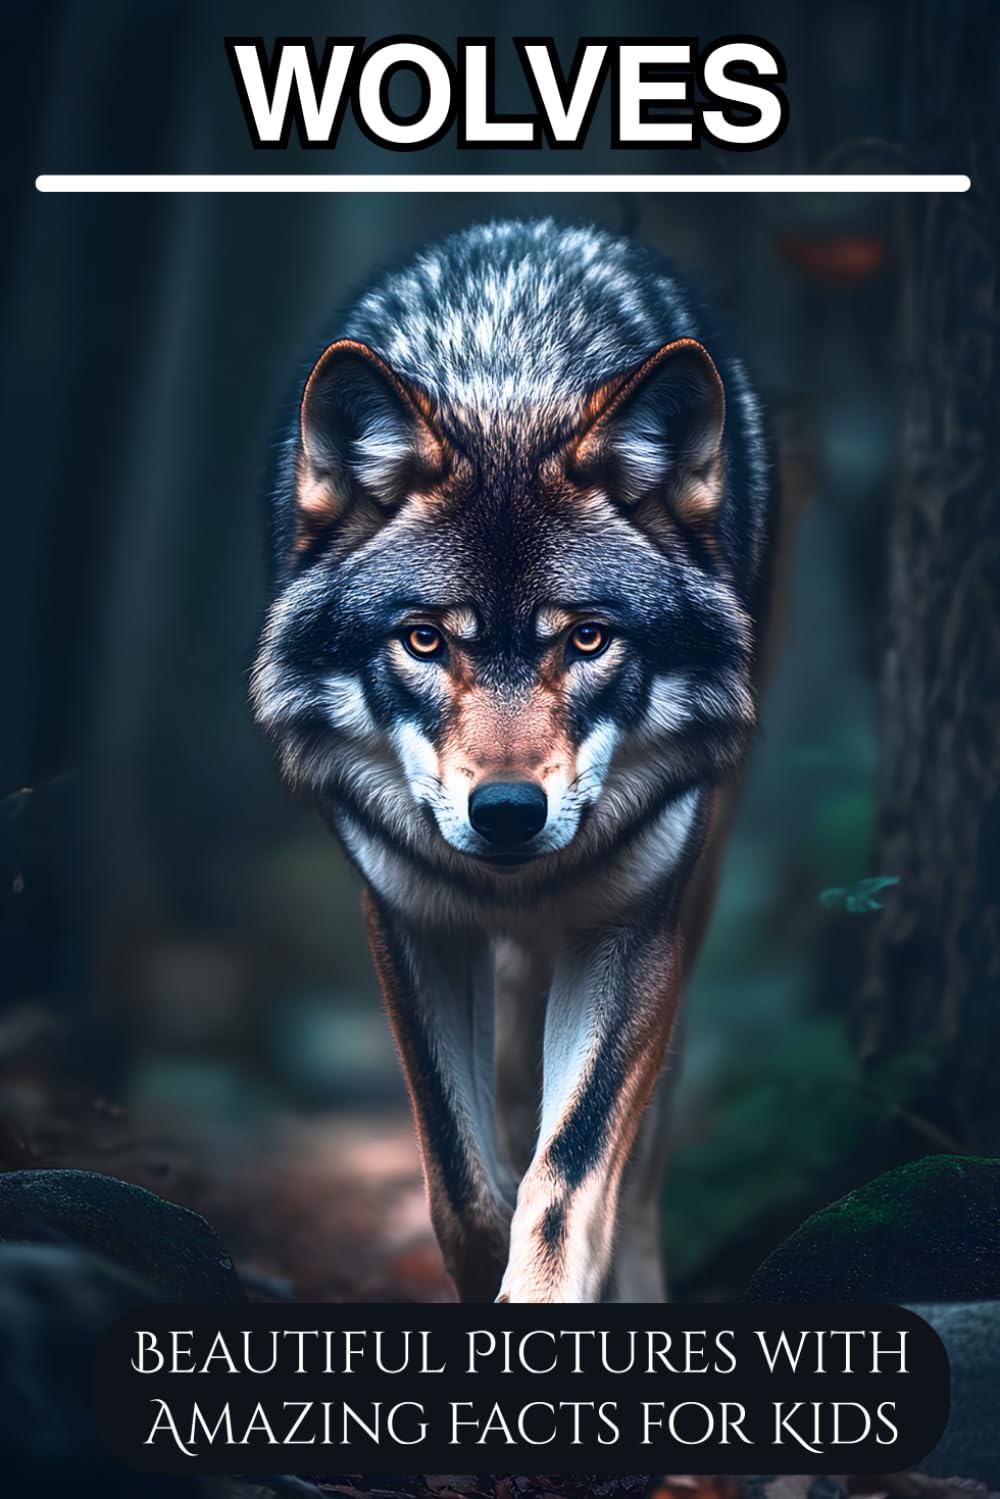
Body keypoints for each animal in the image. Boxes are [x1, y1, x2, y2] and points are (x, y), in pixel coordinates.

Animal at [253, 218, 775, 1303]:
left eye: (586, 639)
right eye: (422, 639)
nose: (505, 812)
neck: (509, 378)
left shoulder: (632, 925)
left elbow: (568, 1175)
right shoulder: (407, 915)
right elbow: (461, 1184)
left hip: (687, 900)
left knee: (643, 1148)